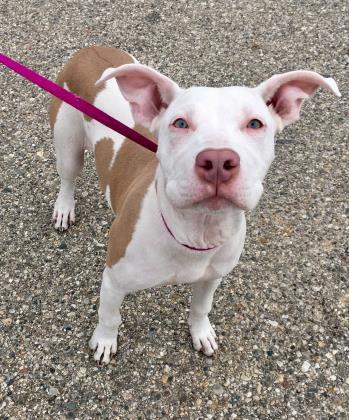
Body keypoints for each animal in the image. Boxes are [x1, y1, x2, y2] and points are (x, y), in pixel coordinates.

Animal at [49, 46, 340, 364]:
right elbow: (109, 316)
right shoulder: (114, 281)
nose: (218, 160)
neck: (197, 230)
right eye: (180, 123)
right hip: (68, 145)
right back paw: (64, 209)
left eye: (255, 124)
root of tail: (90, 50)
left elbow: (201, 308)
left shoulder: (212, 278)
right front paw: (103, 341)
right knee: (67, 178)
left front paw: (201, 333)